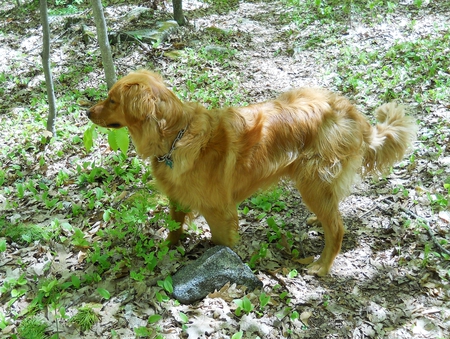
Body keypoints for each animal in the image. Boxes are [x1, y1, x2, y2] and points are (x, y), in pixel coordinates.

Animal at [86, 69, 416, 276]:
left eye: (112, 100)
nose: (86, 111)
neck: (175, 136)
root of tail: (351, 113)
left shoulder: (219, 211)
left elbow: (221, 244)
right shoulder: (177, 196)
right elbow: (175, 226)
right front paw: (168, 247)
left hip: (311, 181)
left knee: (337, 228)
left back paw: (323, 265)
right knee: (333, 206)